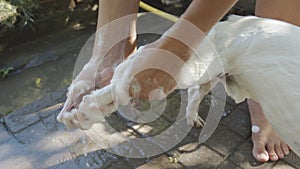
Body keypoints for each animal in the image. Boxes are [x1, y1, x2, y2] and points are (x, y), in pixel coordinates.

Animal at [57, 15, 298, 156]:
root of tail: (235, 20)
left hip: (208, 72)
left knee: (193, 93)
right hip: (186, 67)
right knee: (120, 83)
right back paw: (82, 112)